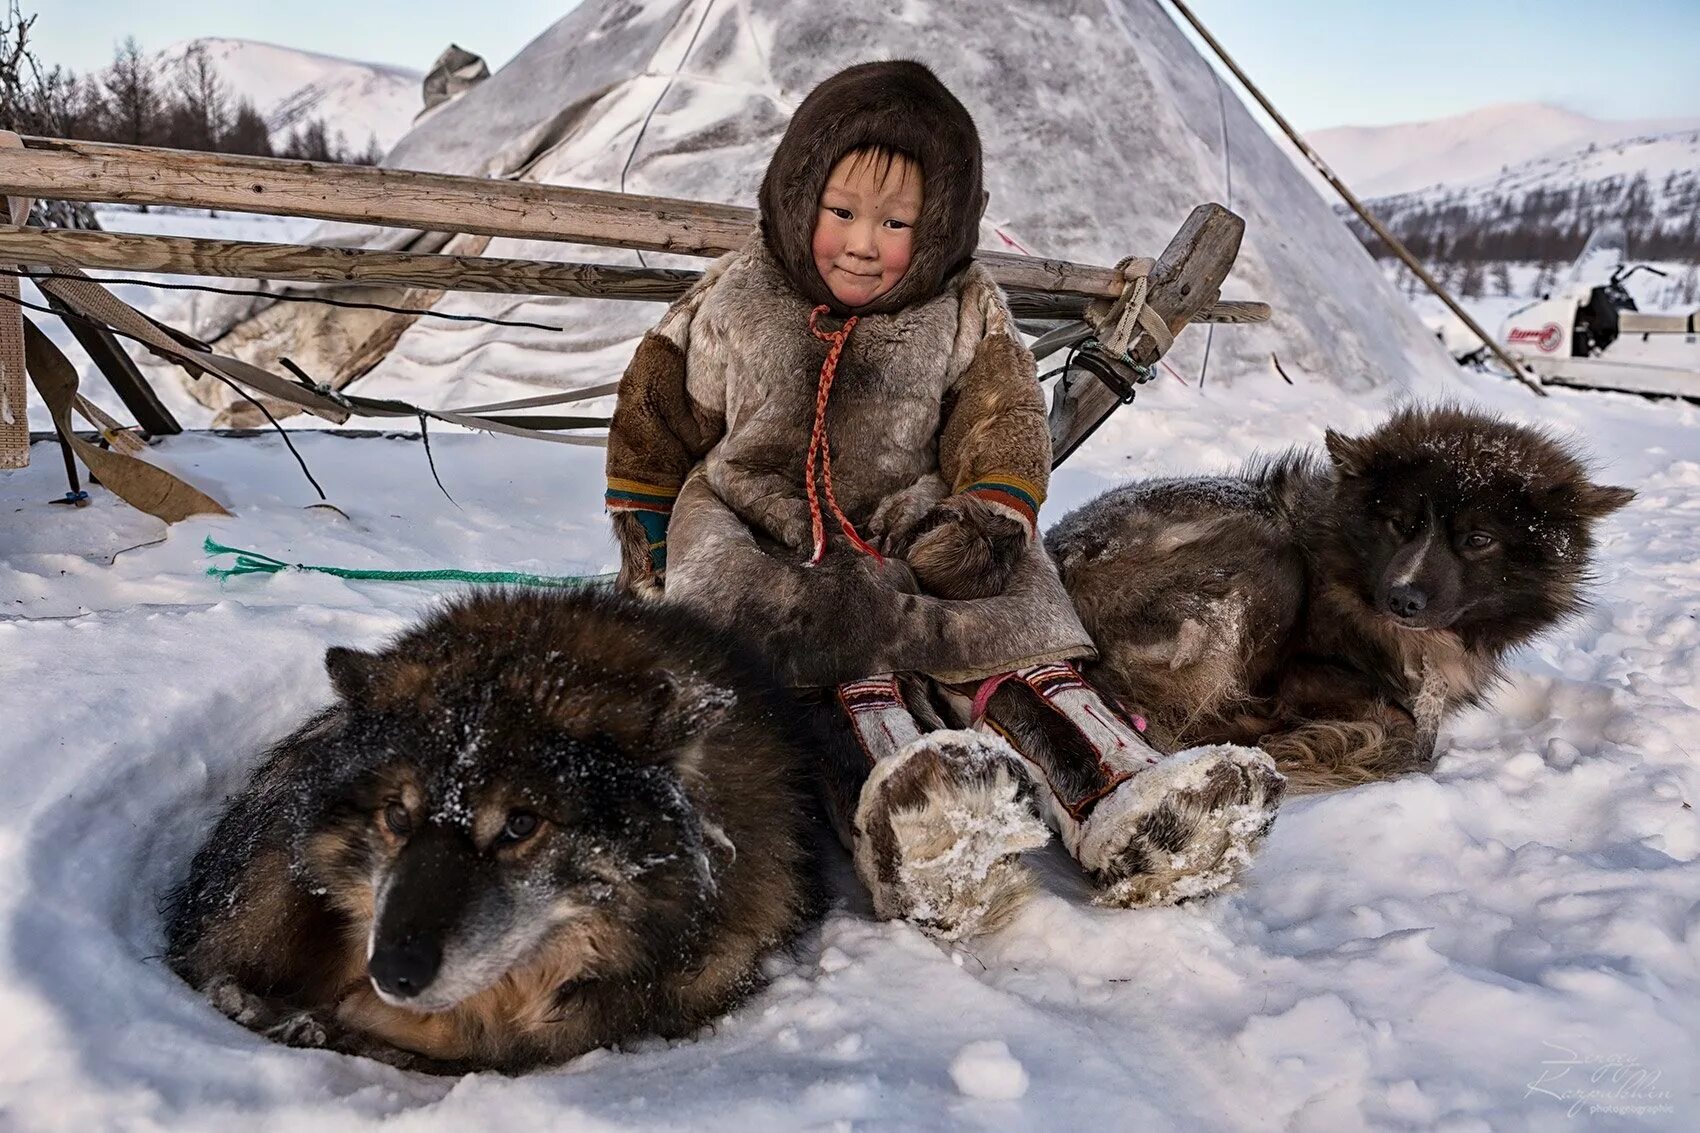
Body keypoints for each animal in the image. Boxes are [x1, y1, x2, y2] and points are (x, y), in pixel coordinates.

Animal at [1047, 401, 1632, 789]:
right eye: (1399, 523)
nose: (1403, 601)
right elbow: (1403, 726)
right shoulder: (1304, 673)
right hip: (1267, 560)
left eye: (1478, 539)